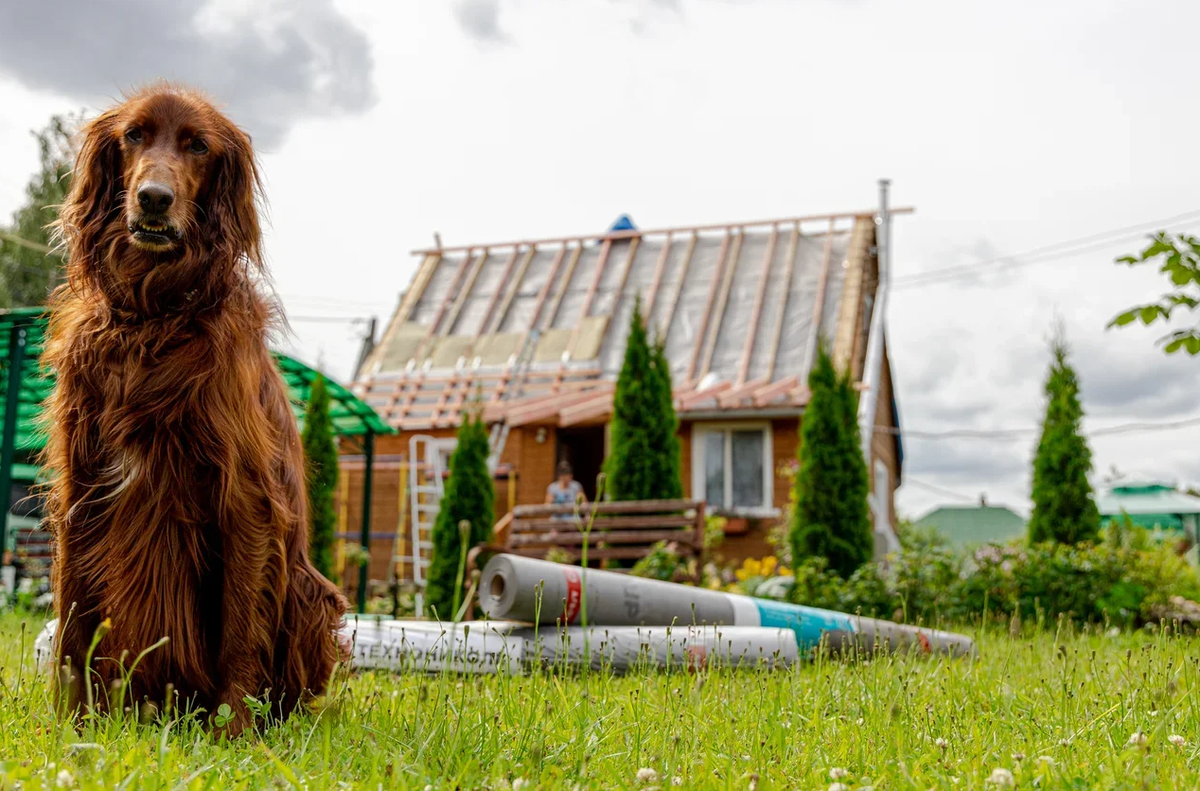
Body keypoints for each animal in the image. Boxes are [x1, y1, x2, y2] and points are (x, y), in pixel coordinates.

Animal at [43, 85, 348, 734]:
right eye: (133, 135)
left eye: (198, 146)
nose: (154, 198)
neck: (152, 314)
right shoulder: (81, 481)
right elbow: (73, 622)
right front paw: (74, 726)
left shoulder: (247, 500)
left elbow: (240, 628)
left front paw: (233, 732)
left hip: (311, 593)